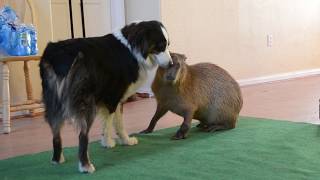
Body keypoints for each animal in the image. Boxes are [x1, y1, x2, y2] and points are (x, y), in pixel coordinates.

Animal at [39, 20, 172, 173]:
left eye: (168, 44)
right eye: (160, 46)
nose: (171, 64)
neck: (132, 48)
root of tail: (57, 56)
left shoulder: (116, 98)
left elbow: (117, 122)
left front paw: (124, 141)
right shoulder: (113, 96)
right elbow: (111, 122)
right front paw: (110, 142)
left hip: (52, 101)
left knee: (55, 131)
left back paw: (57, 159)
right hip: (85, 103)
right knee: (82, 135)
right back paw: (85, 166)